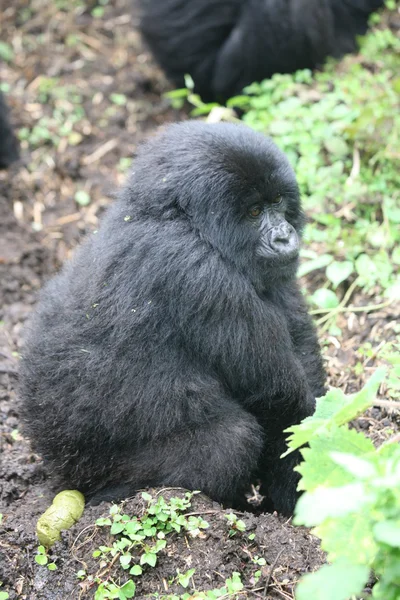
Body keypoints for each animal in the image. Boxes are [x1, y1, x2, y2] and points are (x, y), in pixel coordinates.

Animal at [19, 122, 324, 516]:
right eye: (255, 212)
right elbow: (278, 397)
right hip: (92, 468)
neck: (176, 218)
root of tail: (53, 459)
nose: (286, 237)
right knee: (231, 440)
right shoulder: (197, 270)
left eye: (278, 204)